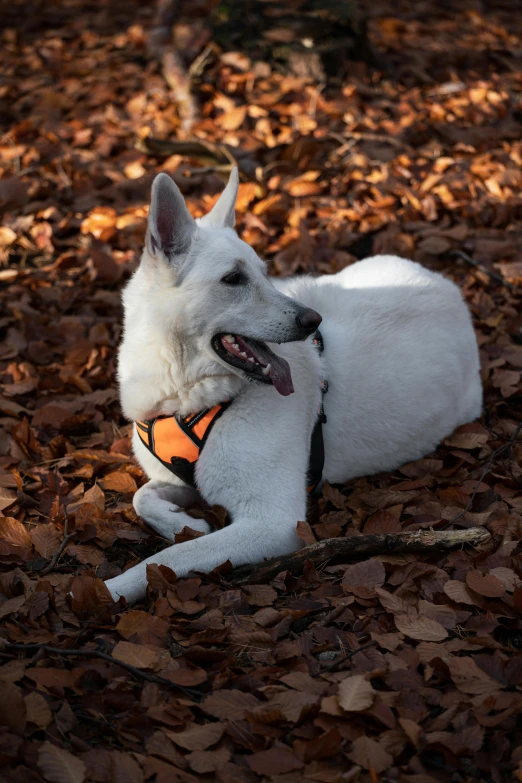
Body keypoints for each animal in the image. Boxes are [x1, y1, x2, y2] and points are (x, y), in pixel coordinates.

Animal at [104, 168, 480, 604]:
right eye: (233, 279)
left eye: (264, 273)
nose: (313, 321)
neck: (189, 394)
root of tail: (451, 290)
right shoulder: (179, 479)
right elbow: (142, 497)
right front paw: (186, 523)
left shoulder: (273, 521)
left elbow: (168, 557)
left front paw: (111, 589)